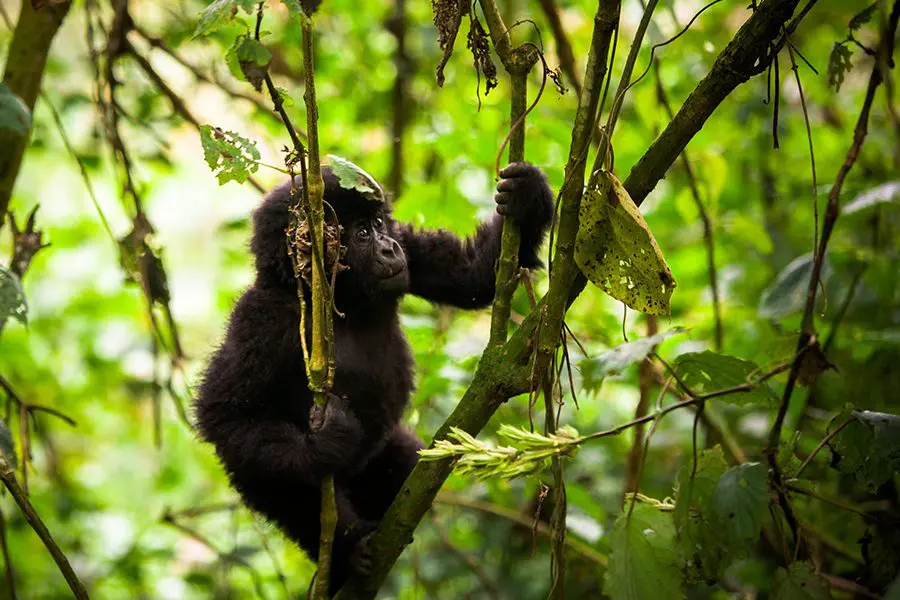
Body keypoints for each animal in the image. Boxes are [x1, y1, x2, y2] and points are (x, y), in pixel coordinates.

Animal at [197, 162, 556, 592]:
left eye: (381, 224)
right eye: (362, 234)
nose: (388, 247)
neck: (337, 301)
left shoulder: (410, 249)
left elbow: (471, 275)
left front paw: (527, 196)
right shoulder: (263, 318)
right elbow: (226, 413)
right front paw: (324, 444)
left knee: (399, 458)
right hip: (261, 469)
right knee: (285, 485)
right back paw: (346, 551)